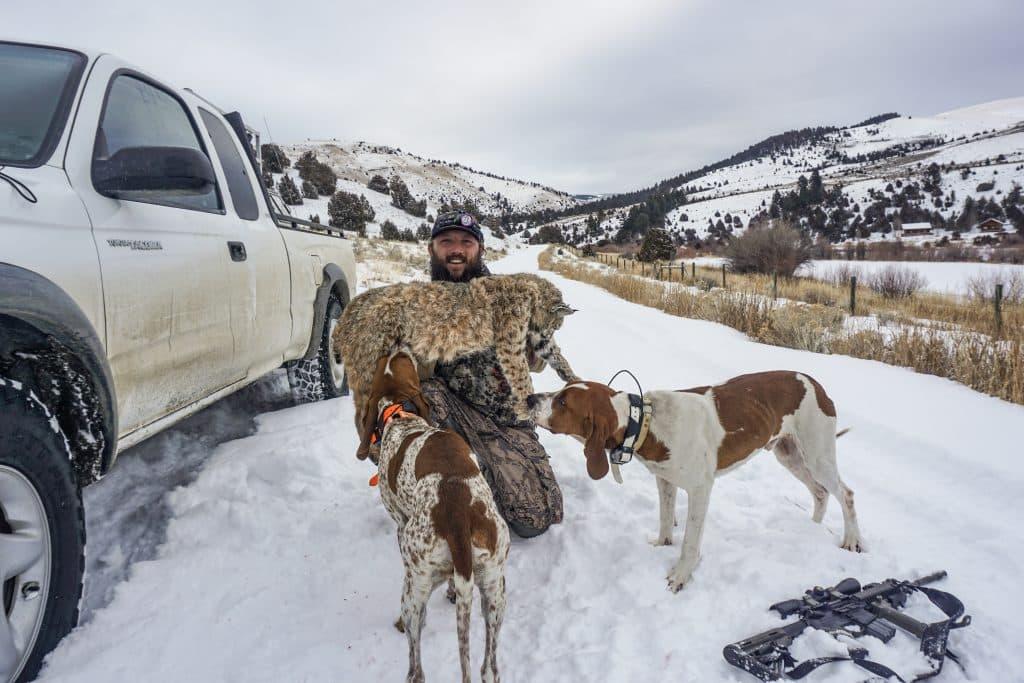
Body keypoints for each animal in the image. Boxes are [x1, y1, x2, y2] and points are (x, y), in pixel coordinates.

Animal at [362, 352, 509, 683]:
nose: (399, 350)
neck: (400, 414)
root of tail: (458, 517)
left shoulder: (400, 522)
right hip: (495, 588)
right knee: (489, 666)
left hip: (414, 587)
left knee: (416, 667)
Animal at [528, 370, 864, 589]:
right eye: (561, 390)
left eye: (562, 403)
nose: (530, 398)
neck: (646, 424)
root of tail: (815, 383)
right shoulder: (665, 480)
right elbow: (666, 520)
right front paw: (662, 544)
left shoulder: (701, 489)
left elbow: (690, 542)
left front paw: (680, 575)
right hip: (789, 453)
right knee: (820, 492)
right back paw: (812, 528)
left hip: (817, 455)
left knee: (846, 493)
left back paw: (852, 541)